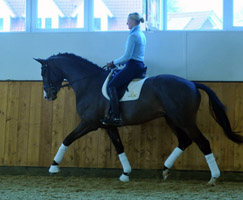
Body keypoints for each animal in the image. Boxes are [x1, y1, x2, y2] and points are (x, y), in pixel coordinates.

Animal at [34, 53, 243, 186]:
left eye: (44, 72)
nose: (47, 95)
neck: (88, 83)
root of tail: (191, 83)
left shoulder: (89, 123)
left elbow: (67, 139)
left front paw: (53, 167)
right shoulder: (108, 126)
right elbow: (119, 147)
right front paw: (126, 174)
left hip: (184, 120)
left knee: (203, 142)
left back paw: (213, 177)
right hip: (172, 119)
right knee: (184, 141)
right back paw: (165, 169)